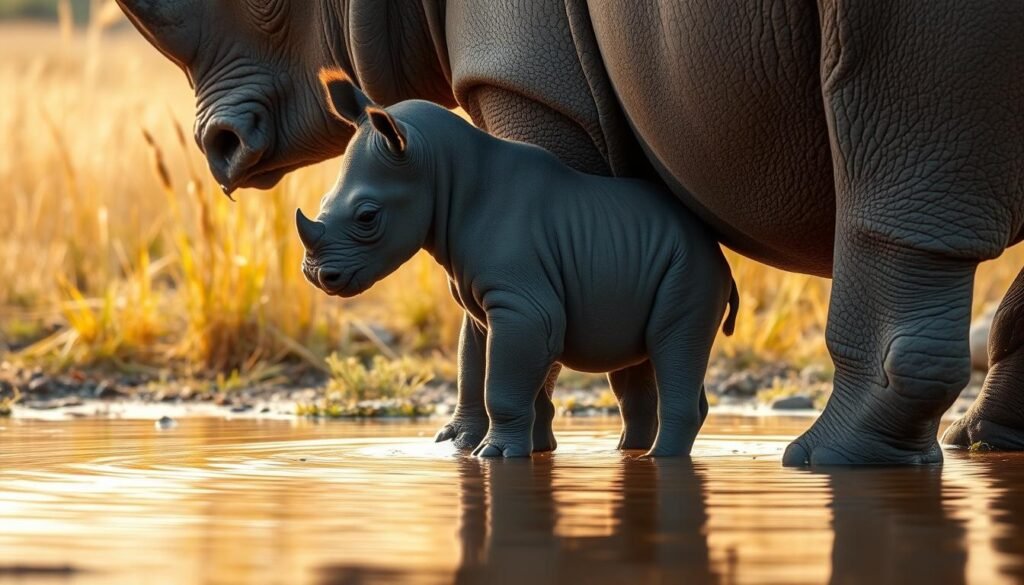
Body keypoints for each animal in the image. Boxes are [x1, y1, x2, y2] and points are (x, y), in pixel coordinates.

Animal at [115, 0, 1024, 466]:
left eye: (368, 219)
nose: (218, 147)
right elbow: (485, 333)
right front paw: (468, 444)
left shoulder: (527, 84)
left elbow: (509, 347)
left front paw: (501, 449)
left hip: (924, 34)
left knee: (903, 149)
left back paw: (816, 461)